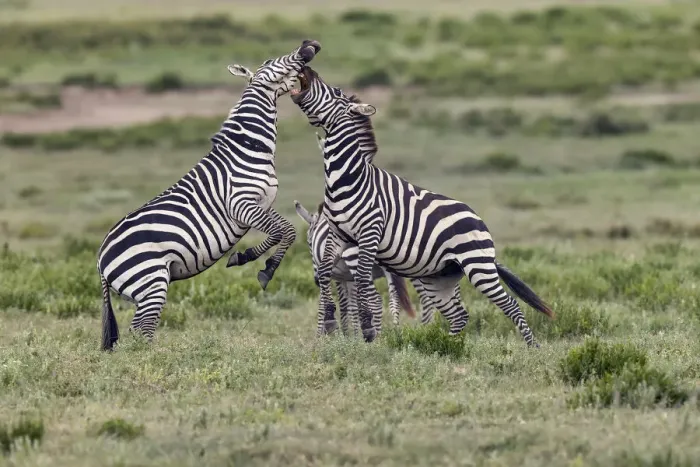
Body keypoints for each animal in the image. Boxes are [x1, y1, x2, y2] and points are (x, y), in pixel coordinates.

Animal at [96, 40, 322, 351]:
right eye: (271, 61)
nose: (309, 45)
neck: (247, 147)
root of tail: (101, 260)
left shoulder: (261, 204)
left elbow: (280, 232)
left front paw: (244, 257)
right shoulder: (240, 204)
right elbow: (285, 231)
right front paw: (262, 268)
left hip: (145, 286)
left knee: (139, 328)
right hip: (151, 281)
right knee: (141, 329)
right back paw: (155, 358)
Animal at [294, 199, 417, 335]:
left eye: (309, 243)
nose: (315, 279)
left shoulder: (338, 276)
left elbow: (336, 303)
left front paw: (333, 334)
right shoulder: (349, 278)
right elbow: (354, 304)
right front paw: (355, 335)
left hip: (354, 259)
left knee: (376, 301)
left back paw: (377, 337)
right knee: (394, 300)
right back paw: (395, 334)